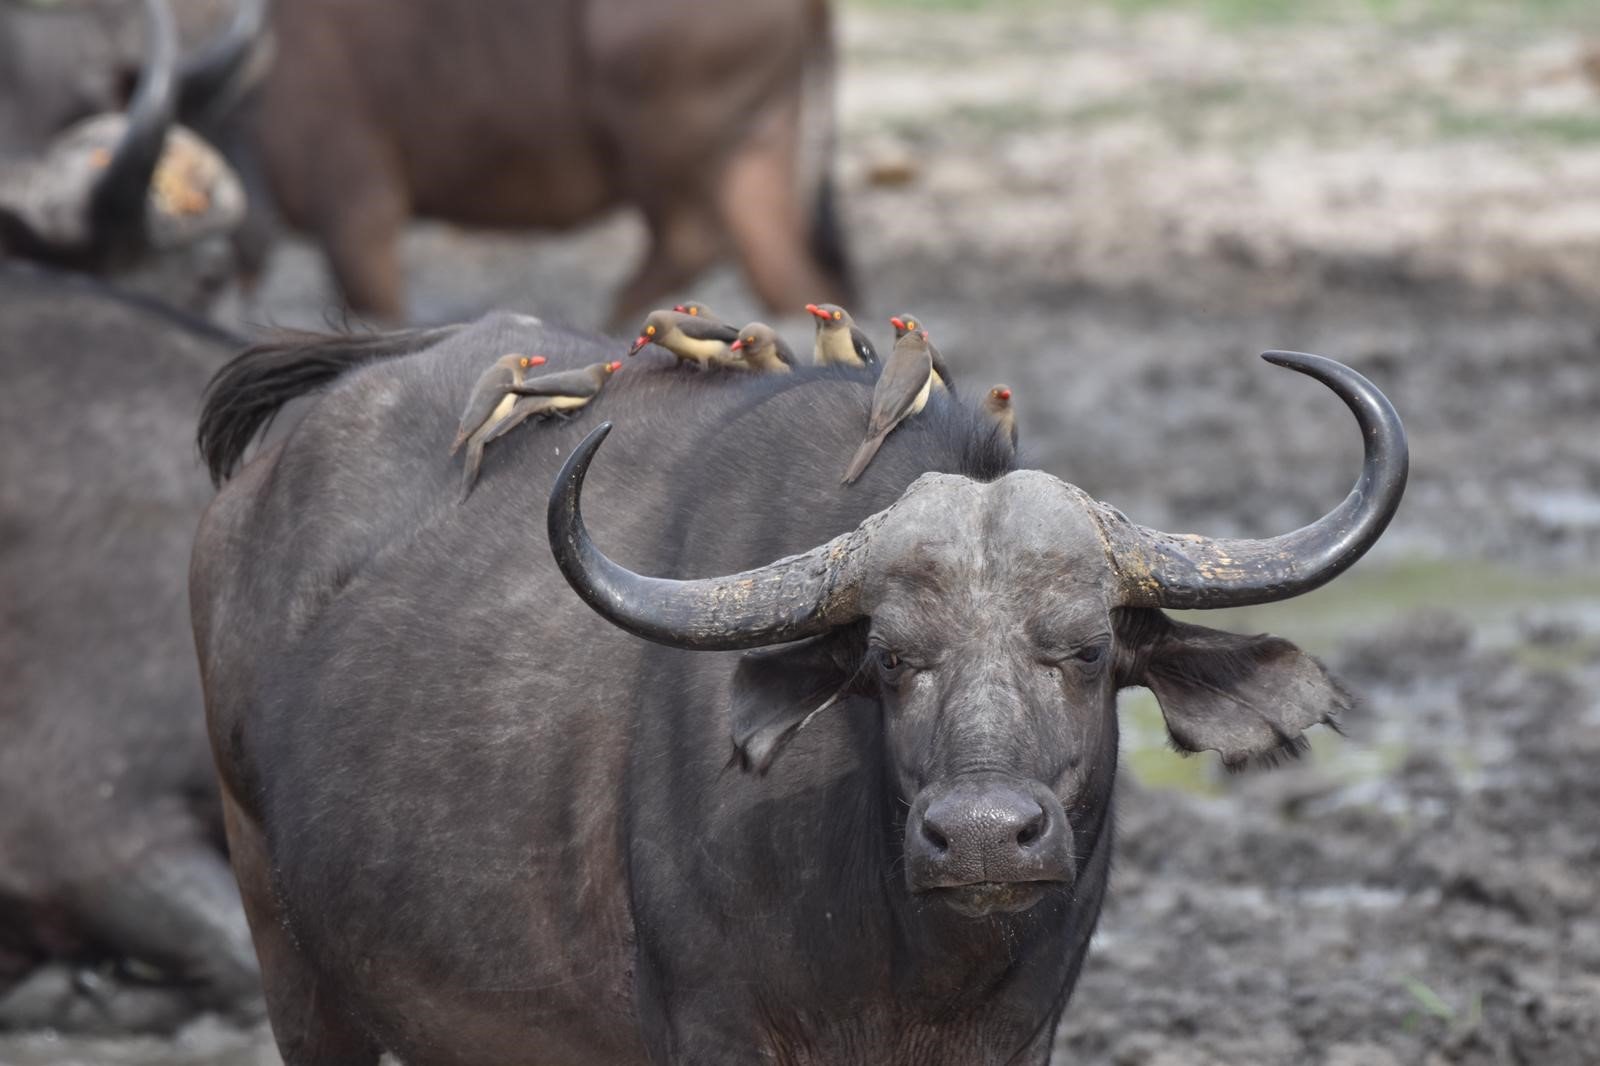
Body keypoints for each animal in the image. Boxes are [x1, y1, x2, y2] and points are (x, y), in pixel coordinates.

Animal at [193, 316, 1408, 1062]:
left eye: (1088, 651)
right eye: (890, 658)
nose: (980, 837)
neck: (905, 961)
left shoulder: (1019, 1037)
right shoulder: (711, 1031)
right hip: (289, 953)